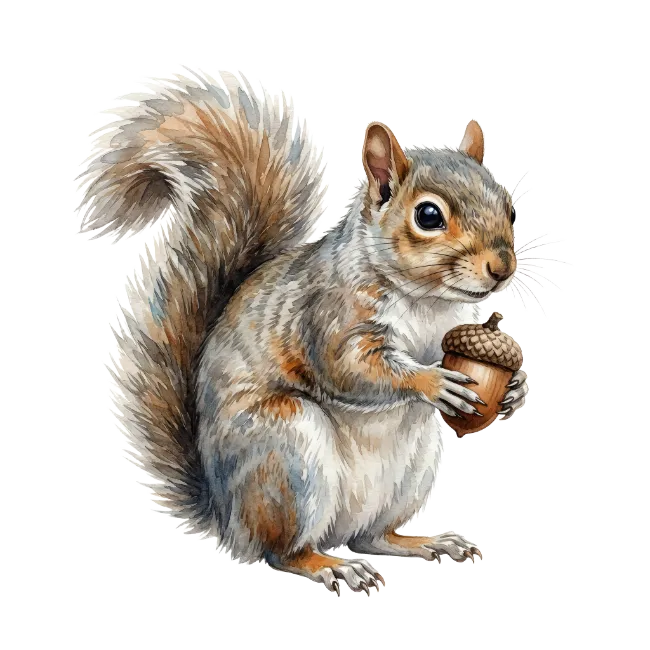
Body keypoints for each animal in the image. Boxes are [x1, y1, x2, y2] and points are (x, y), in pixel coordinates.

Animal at [77, 67, 528, 595]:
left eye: (512, 210)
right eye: (429, 215)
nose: (501, 268)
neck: (426, 299)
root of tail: (228, 519)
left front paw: (515, 388)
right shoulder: (327, 315)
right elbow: (349, 368)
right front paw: (433, 380)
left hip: (411, 469)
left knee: (371, 537)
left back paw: (426, 542)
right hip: (288, 454)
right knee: (283, 551)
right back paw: (330, 566)